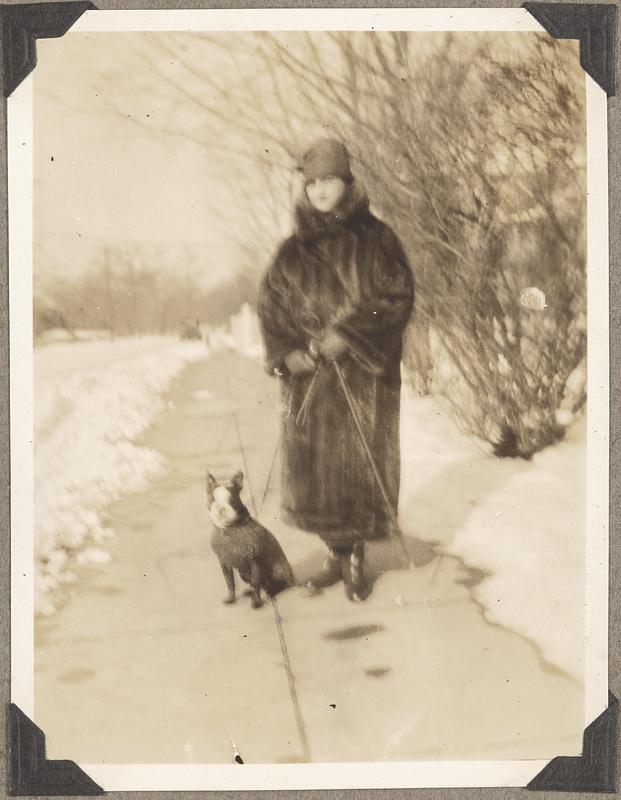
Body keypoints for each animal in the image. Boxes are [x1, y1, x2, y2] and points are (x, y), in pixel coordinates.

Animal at [205, 466, 294, 608]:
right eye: (212, 499)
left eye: (232, 500)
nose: (221, 508)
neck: (229, 528)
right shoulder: (224, 562)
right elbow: (229, 582)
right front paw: (231, 598)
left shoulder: (254, 561)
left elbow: (256, 582)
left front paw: (256, 602)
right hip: (243, 573)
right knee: (257, 583)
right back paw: (250, 591)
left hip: (277, 569)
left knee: (274, 583)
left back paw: (271, 591)